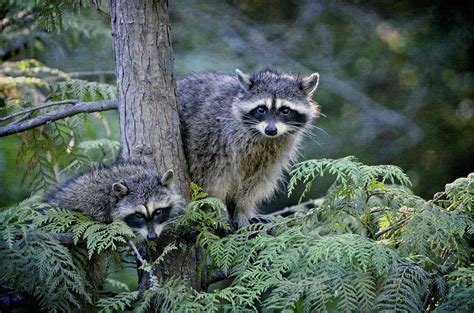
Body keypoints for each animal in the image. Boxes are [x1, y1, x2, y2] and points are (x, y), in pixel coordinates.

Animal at [179, 67, 322, 227]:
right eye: (261, 109)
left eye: (285, 110)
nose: (271, 130)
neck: (263, 137)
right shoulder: (213, 139)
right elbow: (213, 181)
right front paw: (219, 209)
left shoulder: (274, 154)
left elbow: (256, 183)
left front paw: (243, 209)